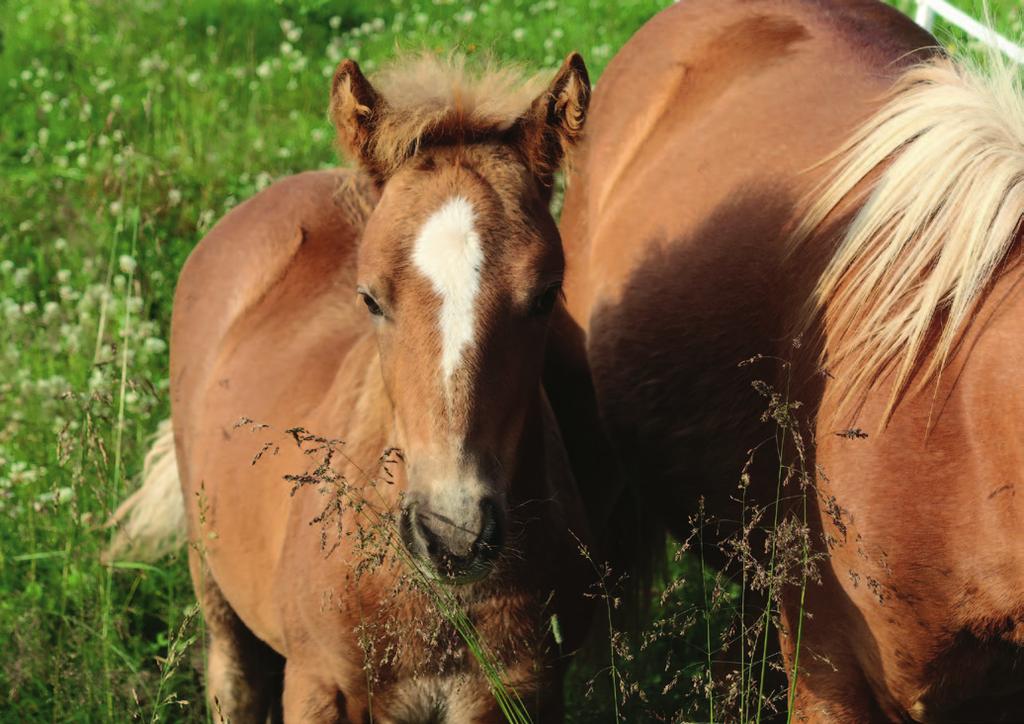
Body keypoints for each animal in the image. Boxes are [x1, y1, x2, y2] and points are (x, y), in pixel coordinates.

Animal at [108, 53, 598, 720]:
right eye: (369, 298)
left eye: (547, 296)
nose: (453, 535)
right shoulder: (319, 686)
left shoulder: (521, 692)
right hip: (210, 569)